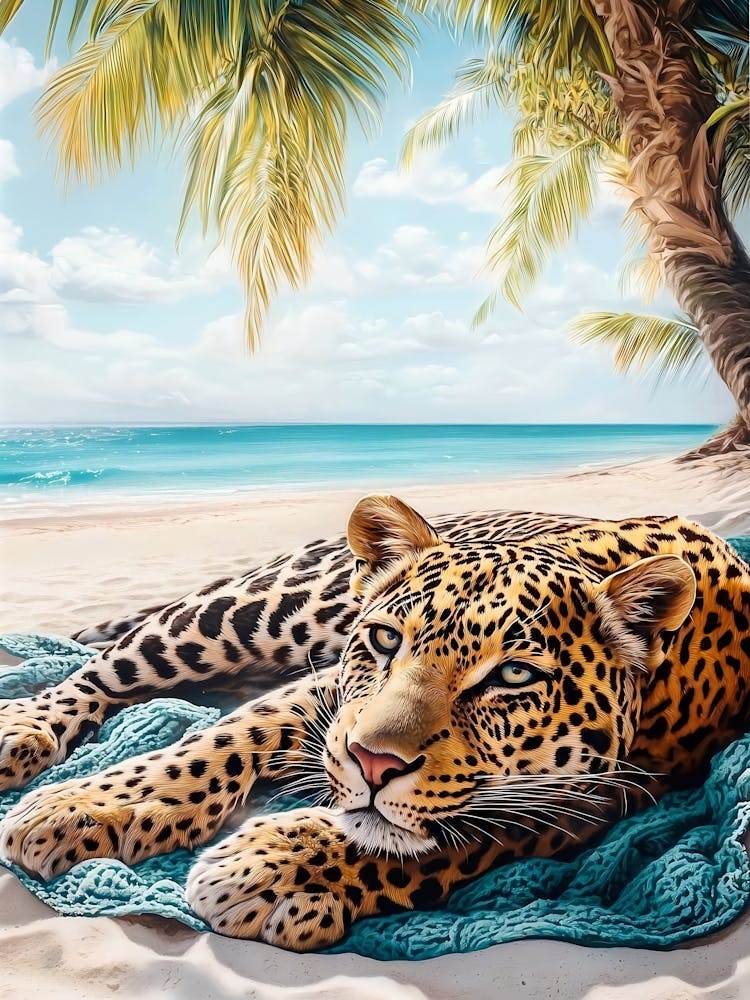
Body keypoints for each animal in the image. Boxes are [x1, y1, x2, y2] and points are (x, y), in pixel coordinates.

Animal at [0, 495, 748, 952]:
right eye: (387, 641)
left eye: (512, 677)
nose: (373, 763)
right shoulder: (331, 693)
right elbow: (225, 736)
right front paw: (88, 806)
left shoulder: (602, 794)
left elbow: (433, 842)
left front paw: (278, 871)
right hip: (247, 614)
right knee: (108, 670)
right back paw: (23, 732)